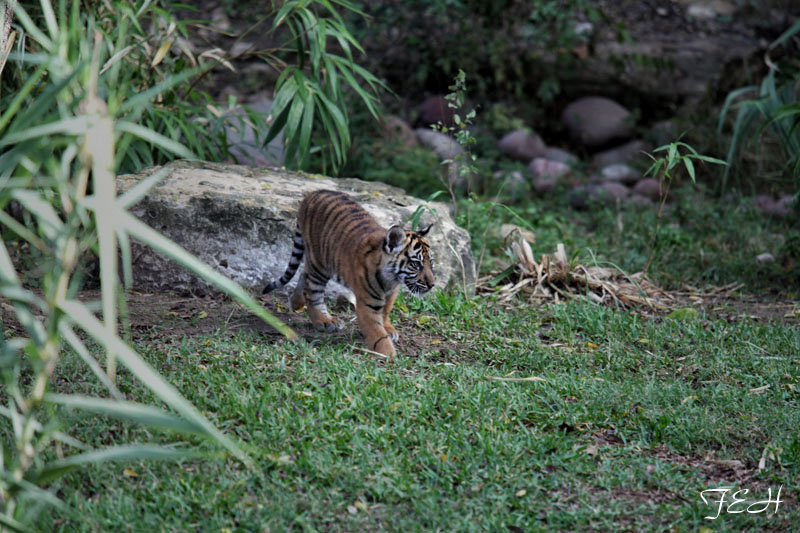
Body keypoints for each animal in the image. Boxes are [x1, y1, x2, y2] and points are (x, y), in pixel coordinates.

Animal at [263, 189, 435, 356]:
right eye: (416, 264)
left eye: (430, 263)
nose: (432, 285)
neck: (391, 279)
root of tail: (312, 193)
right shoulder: (367, 304)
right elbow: (378, 334)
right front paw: (389, 355)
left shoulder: (392, 292)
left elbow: (386, 311)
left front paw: (389, 329)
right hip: (320, 264)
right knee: (312, 293)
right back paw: (324, 320)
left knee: (304, 273)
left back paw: (296, 302)